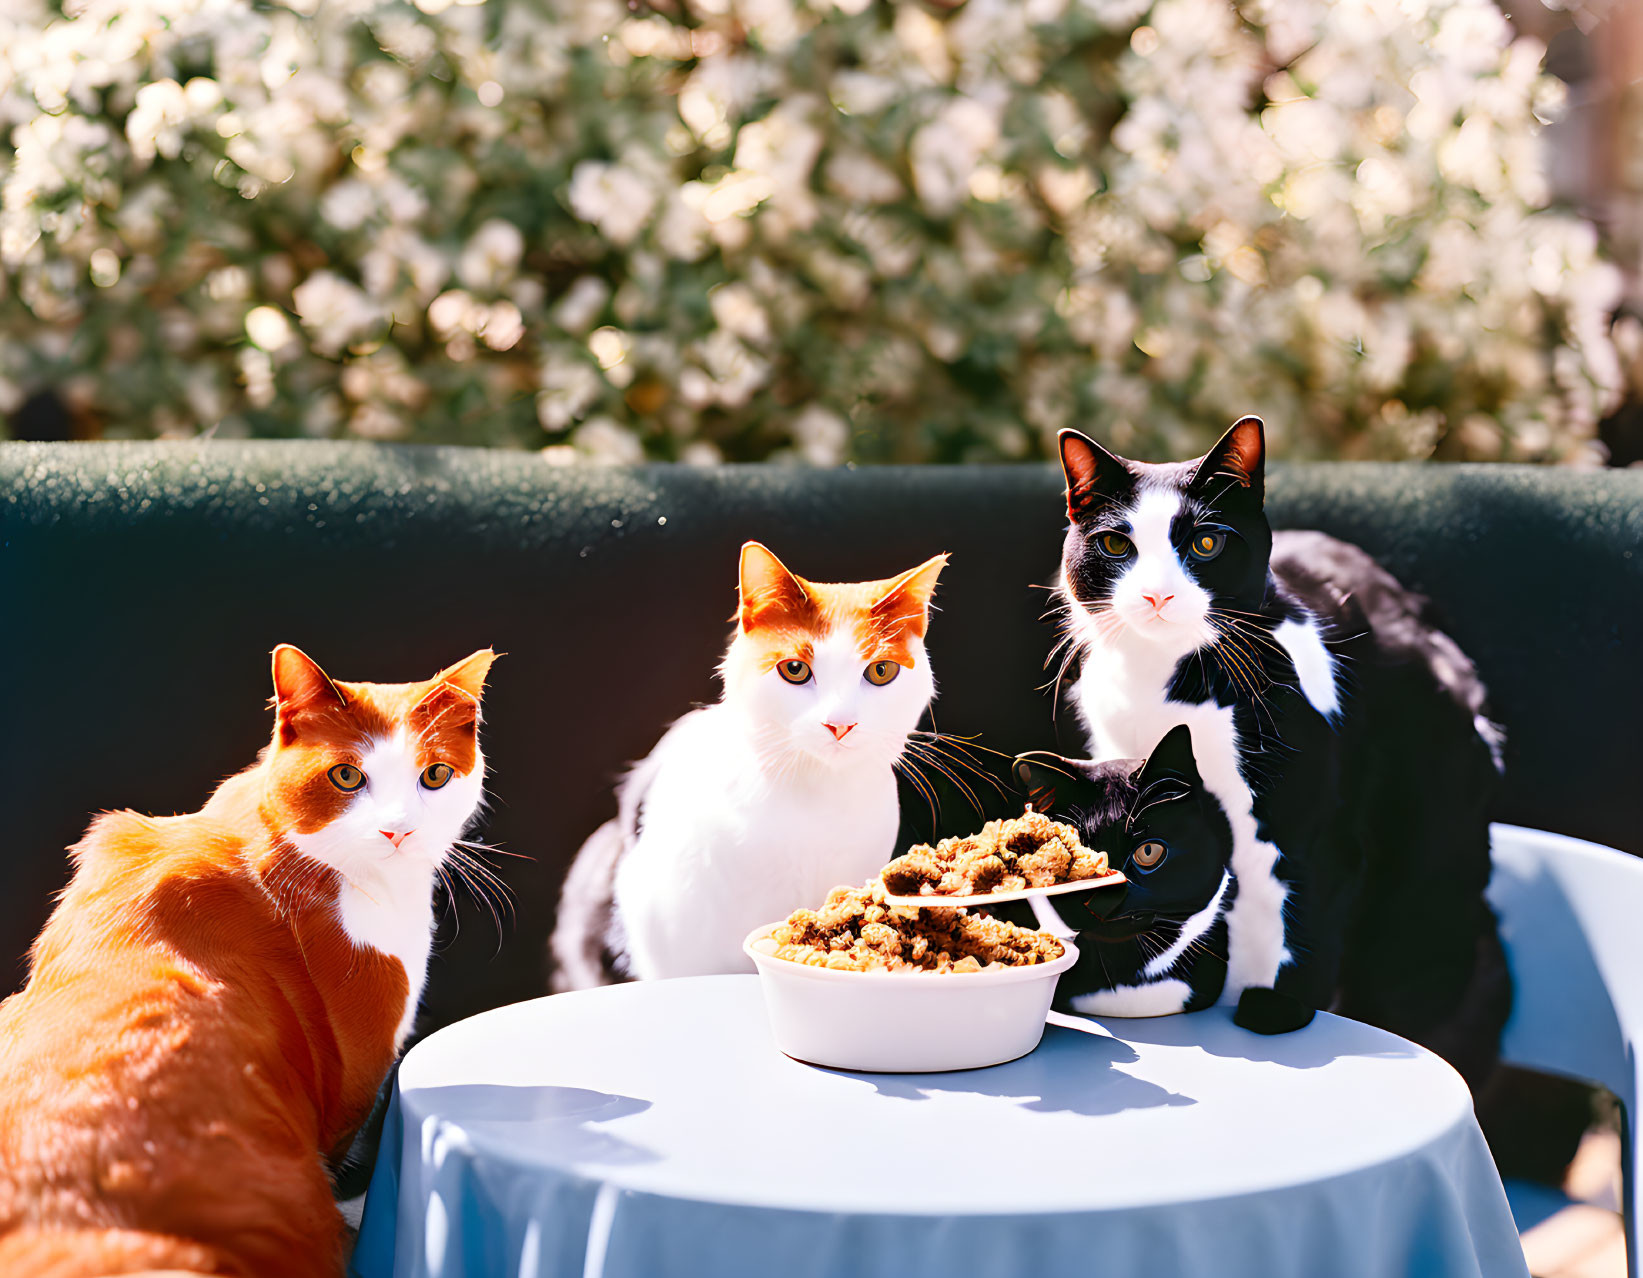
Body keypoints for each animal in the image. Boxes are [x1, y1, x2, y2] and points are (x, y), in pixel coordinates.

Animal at [1058, 418, 1504, 1077]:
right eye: (1116, 546)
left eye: (1206, 544)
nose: (1157, 597)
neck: (1166, 685)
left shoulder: (1313, 828)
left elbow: (1304, 914)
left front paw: (1276, 1011)